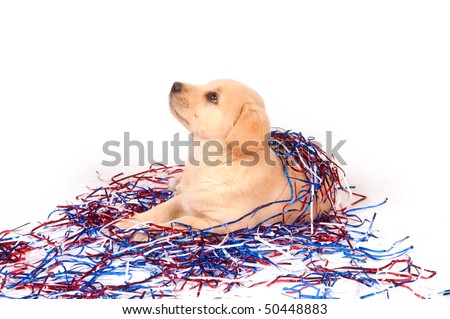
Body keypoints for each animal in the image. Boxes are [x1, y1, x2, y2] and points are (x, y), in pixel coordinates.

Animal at [118, 80, 332, 235]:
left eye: (212, 97)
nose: (174, 84)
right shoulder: (185, 199)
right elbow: (161, 210)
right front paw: (129, 223)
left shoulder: (223, 222)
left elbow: (179, 222)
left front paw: (144, 232)